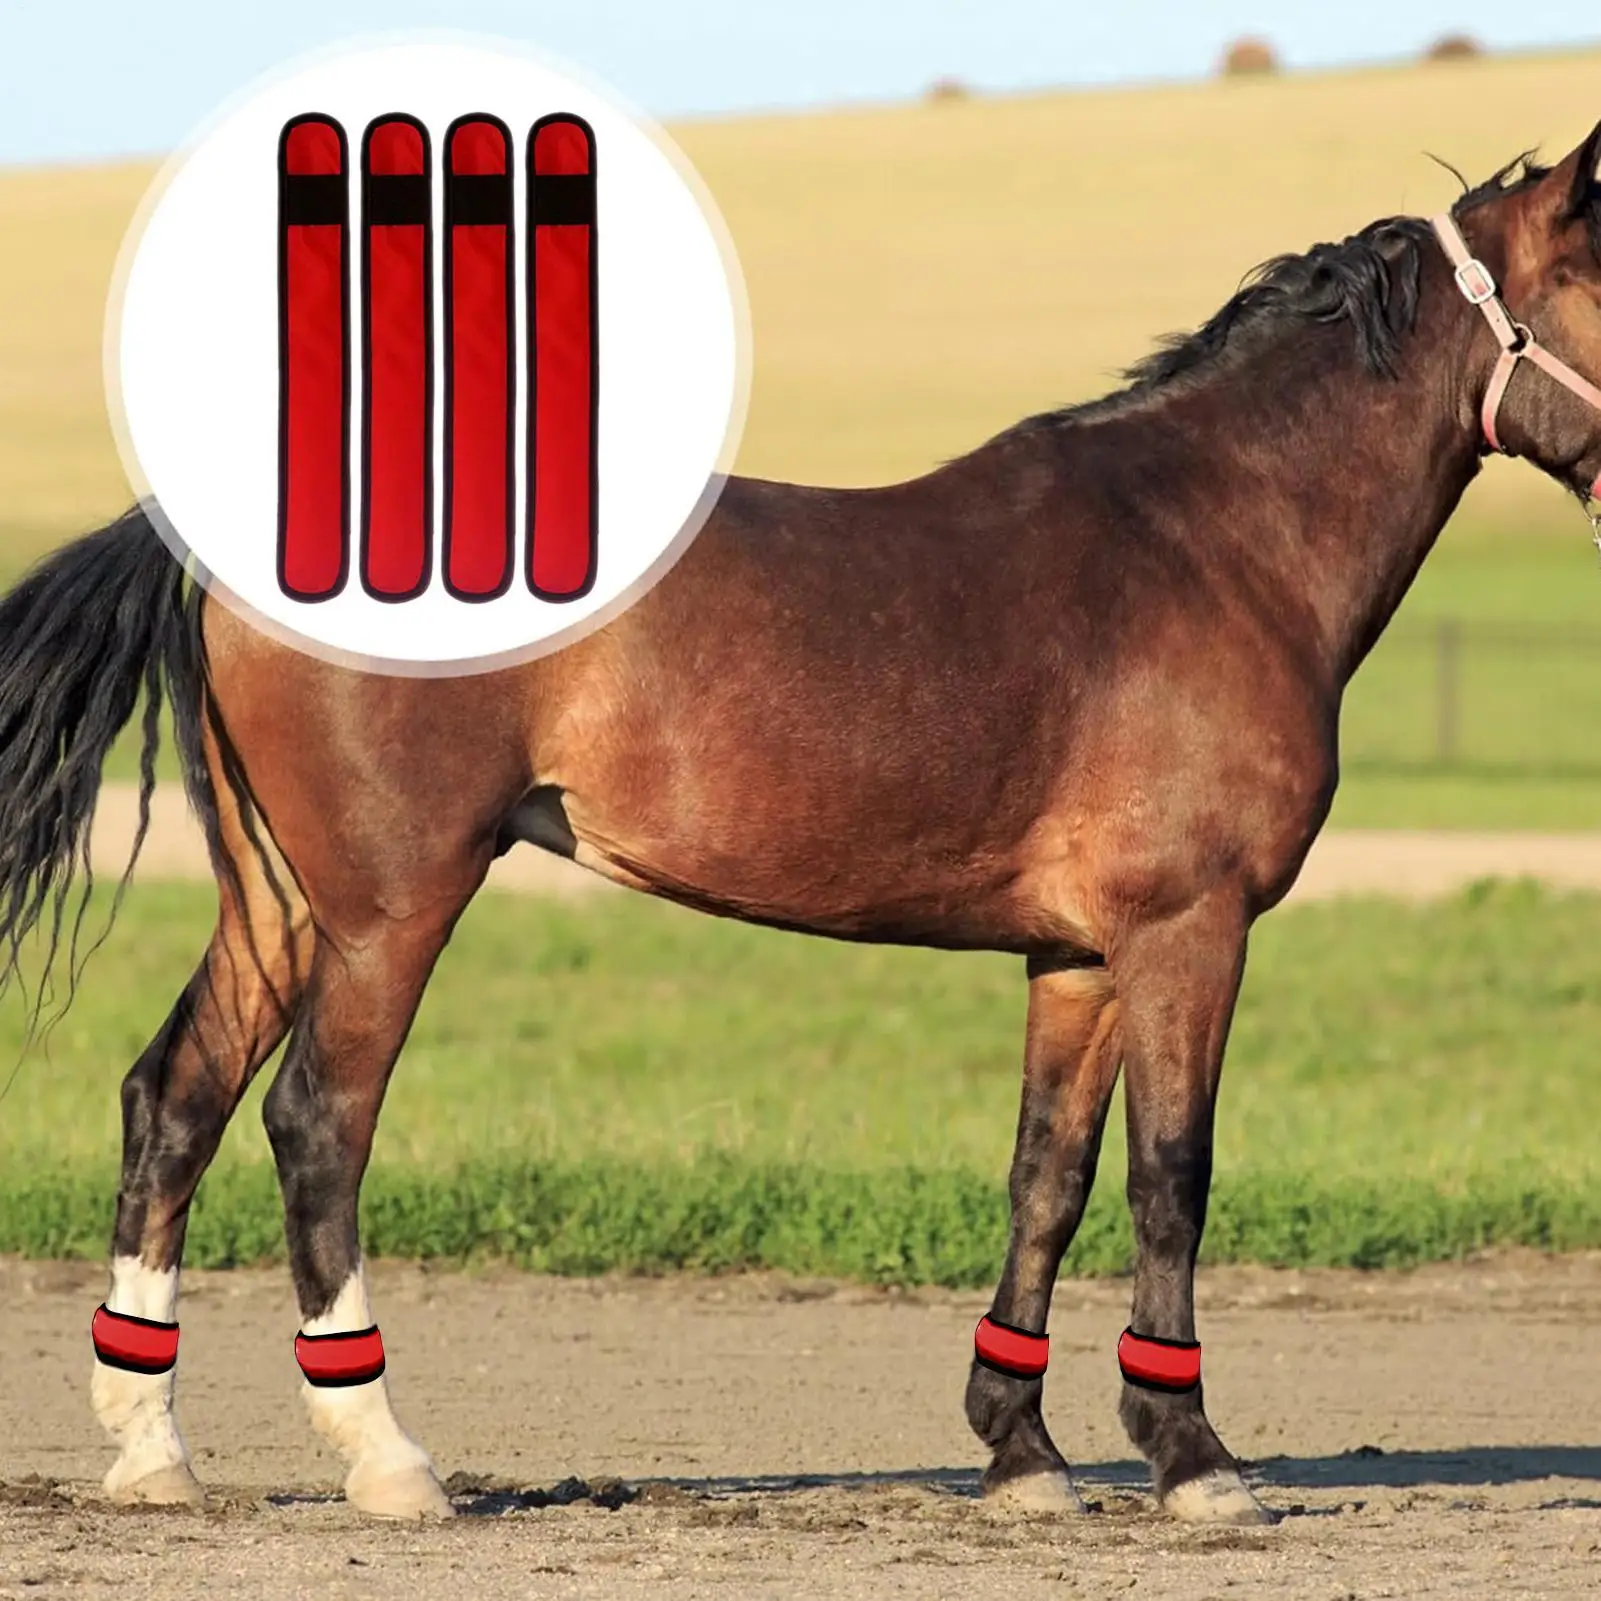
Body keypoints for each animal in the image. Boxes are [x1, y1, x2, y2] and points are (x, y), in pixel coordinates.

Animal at [4, 123, 1600, 1527]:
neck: (1211, 543)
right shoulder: (1185, 933)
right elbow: (1171, 1178)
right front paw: (1195, 1457)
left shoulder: (1079, 958)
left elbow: (1046, 1178)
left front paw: (1022, 1453)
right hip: (391, 909)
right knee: (315, 1126)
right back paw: (387, 1459)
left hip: (280, 904)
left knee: (174, 1101)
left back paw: (152, 1453)